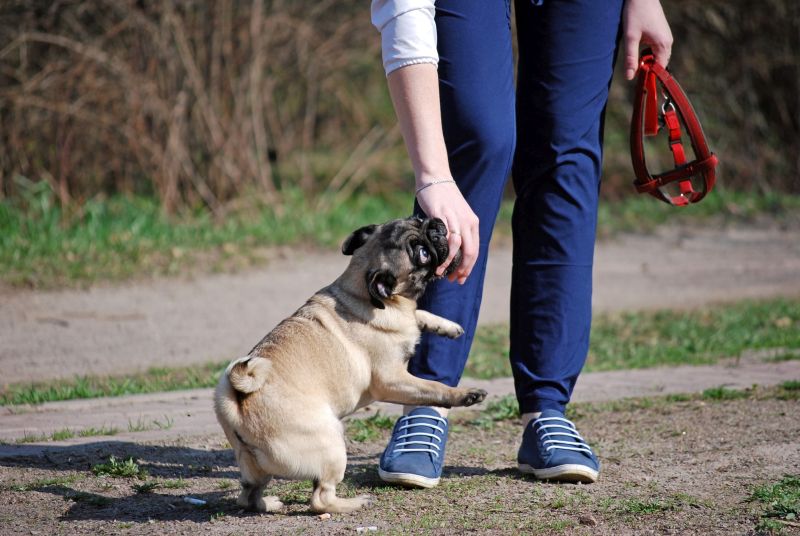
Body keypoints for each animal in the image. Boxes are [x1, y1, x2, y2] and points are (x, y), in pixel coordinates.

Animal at [214, 217, 488, 516]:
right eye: (422, 254)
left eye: (417, 220)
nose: (436, 225)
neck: (360, 292)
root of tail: (239, 403)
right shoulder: (392, 380)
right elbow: (433, 386)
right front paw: (465, 394)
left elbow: (419, 314)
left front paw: (447, 326)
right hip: (332, 444)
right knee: (320, 499)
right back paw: (354, 503)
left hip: (254, 466)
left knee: (248, 495)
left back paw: (269, 504)